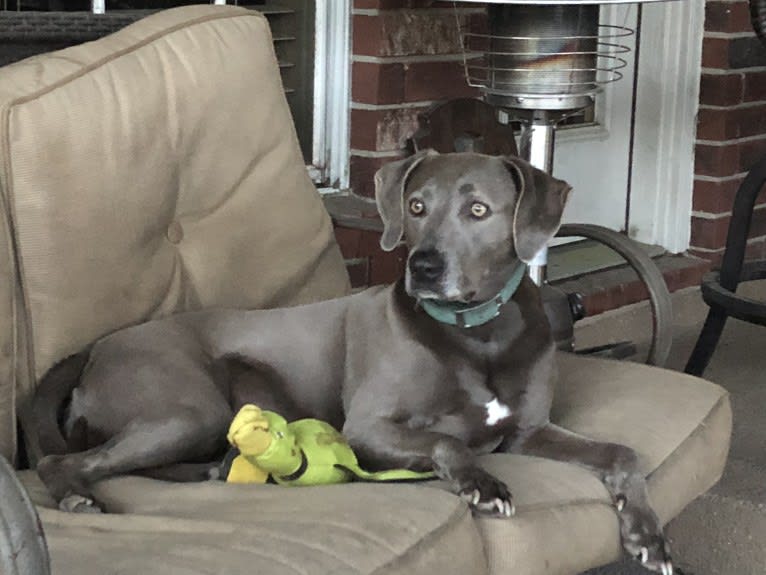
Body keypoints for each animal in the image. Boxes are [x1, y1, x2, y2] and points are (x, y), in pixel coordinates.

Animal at [33, 152, 672, 575]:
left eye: (479, 210)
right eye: (416, 206)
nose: (424, 267)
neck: (476, 335)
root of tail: (96, 348)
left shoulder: (530, 430)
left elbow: (623, 452)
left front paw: (647, 534)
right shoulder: (366, 429)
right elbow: (448, 441)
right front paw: (481, 482)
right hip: (189, 410)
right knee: (61, 463)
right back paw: (78, 499)